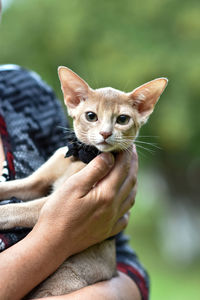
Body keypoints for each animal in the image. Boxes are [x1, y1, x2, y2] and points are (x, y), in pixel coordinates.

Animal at [0, 66, 167, 298]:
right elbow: (8, 188)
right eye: (91, 116)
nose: (106, 133)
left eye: (122, 119)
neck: (81, 157)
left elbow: (17, 209)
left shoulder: (50, 202)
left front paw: (1, 213)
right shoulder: (35, 183)